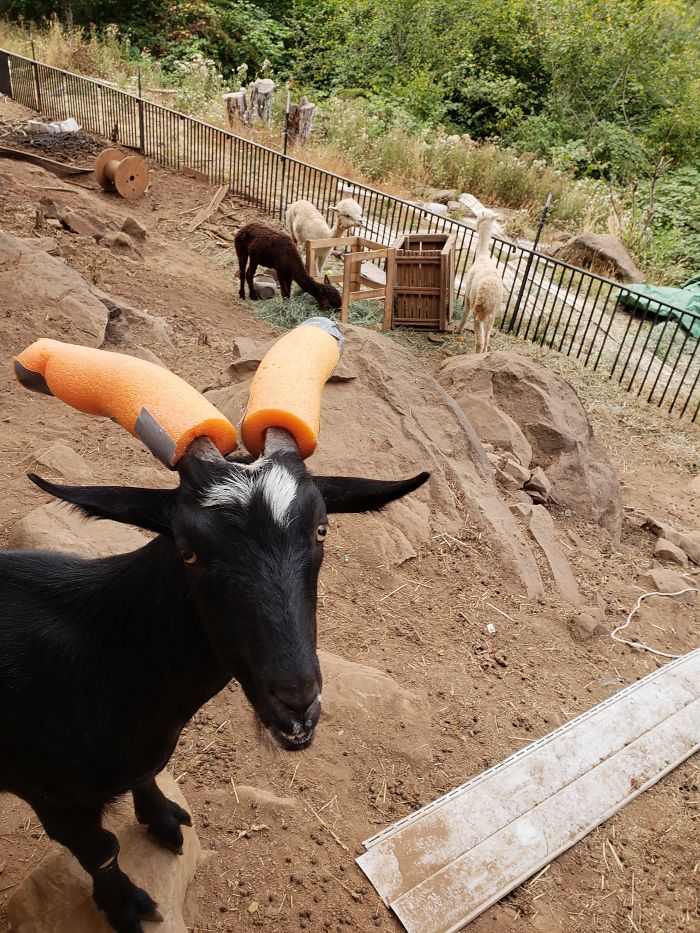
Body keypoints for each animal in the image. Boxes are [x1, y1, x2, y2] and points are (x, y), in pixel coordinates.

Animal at [0, 431, 429, 932]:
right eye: (188, 549)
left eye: (321, 530)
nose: (297, 705)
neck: (103, 655)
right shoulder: (53, 798)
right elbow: (100, 852)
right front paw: (125, 906)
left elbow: (148, 777)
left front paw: (163, 820)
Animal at [457, 210, 505, 353]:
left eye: (479, 215)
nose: (476, 223)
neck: (482, 255)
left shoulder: (467, 293)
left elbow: (465, 312)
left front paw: (458, 331)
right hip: (492, 314)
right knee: (488, 338)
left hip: (478, 310)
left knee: (480, 340)